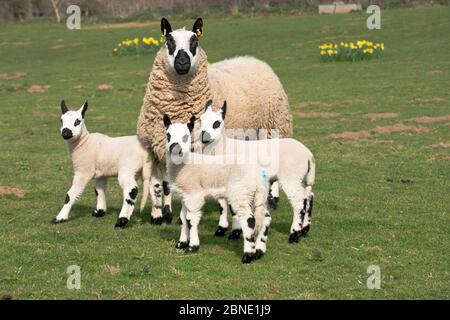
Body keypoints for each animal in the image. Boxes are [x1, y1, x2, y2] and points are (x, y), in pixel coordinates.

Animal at [51, 100, 152, 228]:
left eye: (77, 121)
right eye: (61, 120)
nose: (65, 132)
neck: (84, 143)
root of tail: (145, 152)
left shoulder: (83, 171)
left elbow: (71, 194)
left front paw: (60, 218)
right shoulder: (101, 173)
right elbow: (99, 190)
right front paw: (100, 211)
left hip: (127, 168)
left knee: (131, 190)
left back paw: (122, 221)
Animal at [135, 17, 294, 222]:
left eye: (195, 40)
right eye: (169, 40)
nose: (182, 61)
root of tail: (253, 59)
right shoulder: (156, 148)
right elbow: (161, 184)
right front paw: (160, 216)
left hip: (273, 128)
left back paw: (272, 200)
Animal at [164, 114, 272, 262]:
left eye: (186, 136)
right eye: (168, 135)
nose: (175, 148)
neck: (184, 164)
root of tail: (257, 174)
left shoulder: (194, 195)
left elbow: (191, 220)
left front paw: (192, 246)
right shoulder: (185, 195)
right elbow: (183, 218)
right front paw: (181, 243)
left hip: (240, 193)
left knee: (249, 221)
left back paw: (247, 255)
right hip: (258, 194)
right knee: (265, 218)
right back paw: (259, 251)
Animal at [200, 101, 316, 244]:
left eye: (217, 123)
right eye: (200, 120)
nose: (204, 136)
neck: (223, 147)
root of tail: (308, 155)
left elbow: (233, 207)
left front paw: (234, 233)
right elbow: (222, 204)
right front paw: (221, 229)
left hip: (291, 177)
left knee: (299, 202)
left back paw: (294, 235)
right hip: (303, 178)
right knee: (308, 197)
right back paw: (304, 230)